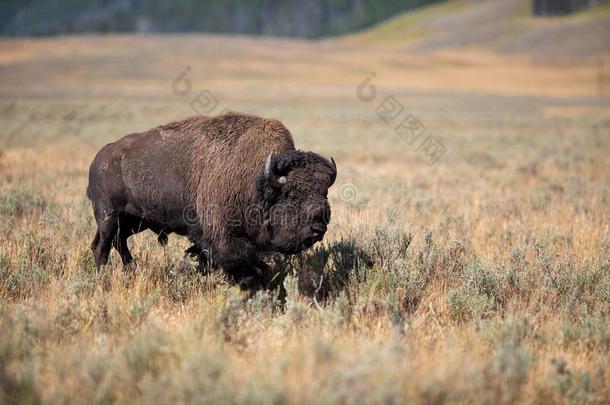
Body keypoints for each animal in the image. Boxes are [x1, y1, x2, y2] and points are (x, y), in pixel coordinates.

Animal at [85, 112, 334, 286]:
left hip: (134, 221)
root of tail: (101, 156)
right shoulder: (223, 237)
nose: (318, 228)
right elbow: (236, 262)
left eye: (324, 192)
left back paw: (131, 270)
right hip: (108, 216)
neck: (258, 181)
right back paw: (102, 278)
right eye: (292, 194)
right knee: (102, 247)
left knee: (117, 243)